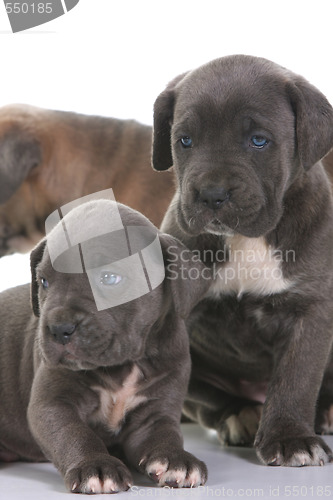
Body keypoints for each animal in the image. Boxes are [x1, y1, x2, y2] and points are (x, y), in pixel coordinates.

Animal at [0, 198, 209, 492]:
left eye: (109, 278)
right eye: (43, 281)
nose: (59, 328)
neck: (124, 366)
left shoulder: (155, 412)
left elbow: (165, 433)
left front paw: (176, 459)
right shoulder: (53, 404)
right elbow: (74, 434)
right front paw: (96, 466)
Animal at [152, 56, 332, 466]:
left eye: (259, 141)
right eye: (185, 140)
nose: (211, 194)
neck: (248, 239)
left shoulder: (310, 310)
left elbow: (296, 378)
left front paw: (291, 437)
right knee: (209, 399)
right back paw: (242, 415)